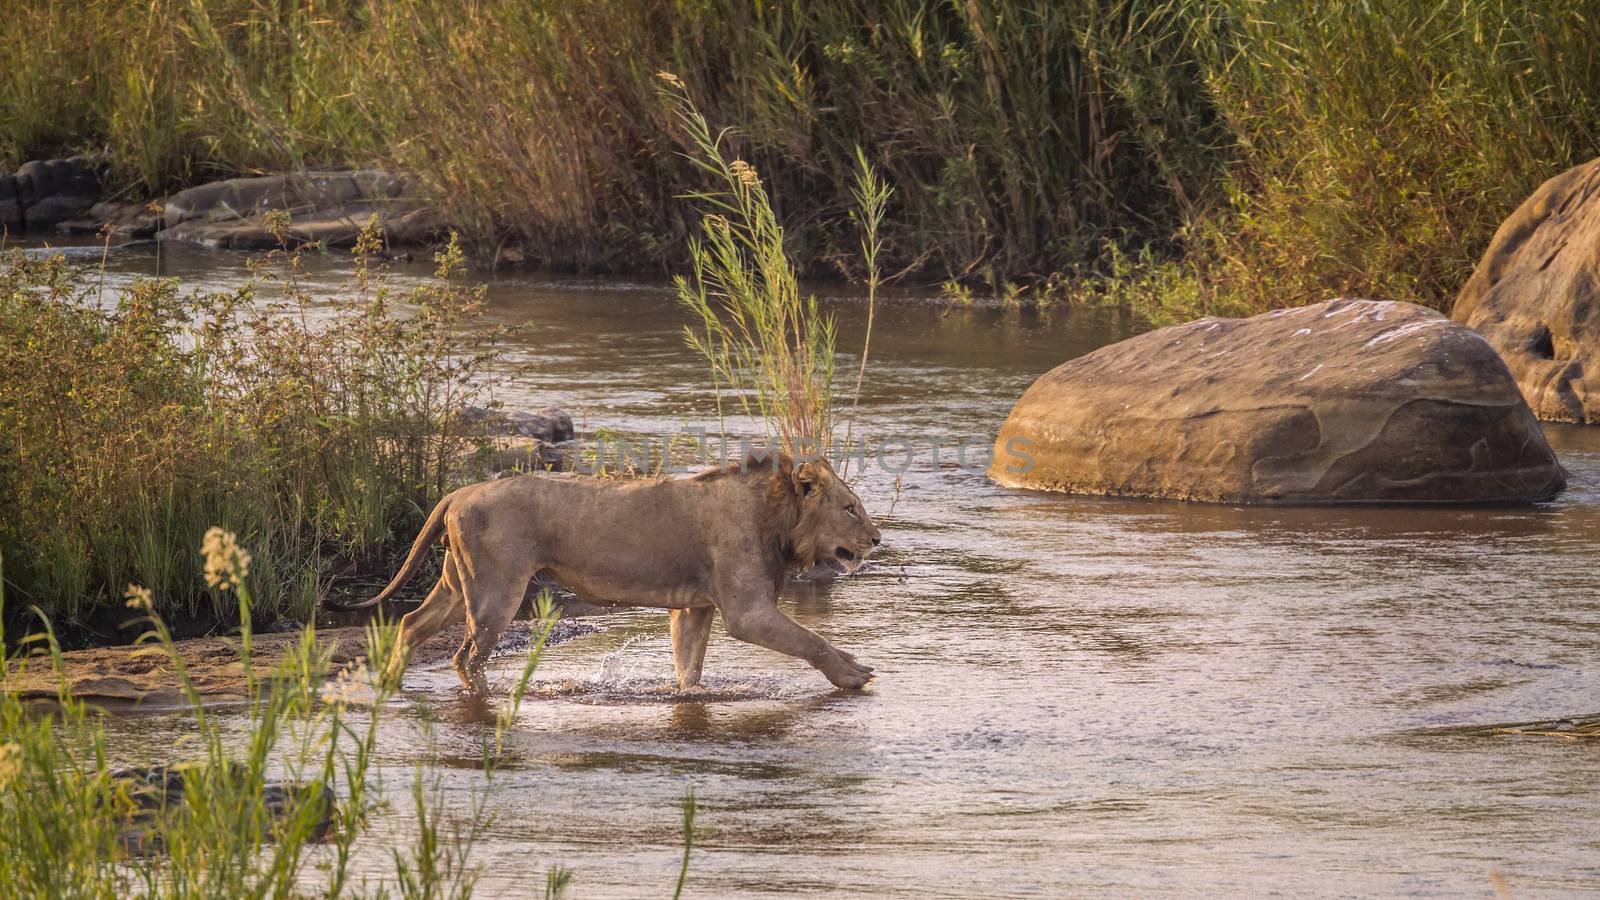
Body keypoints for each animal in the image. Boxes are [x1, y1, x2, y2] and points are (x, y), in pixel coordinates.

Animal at [320, 448, 883, 695]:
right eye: (851, 508)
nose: (877, 539)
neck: (780, 518)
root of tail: (459, 492)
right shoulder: (746, 611)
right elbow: (811, 639)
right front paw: (854, 673)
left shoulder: (693, 607)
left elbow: (689, 665)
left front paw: (688, 696)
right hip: (496, 591)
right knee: (465, 656)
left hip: (458, 585)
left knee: (410, 623)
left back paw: (391, 679)